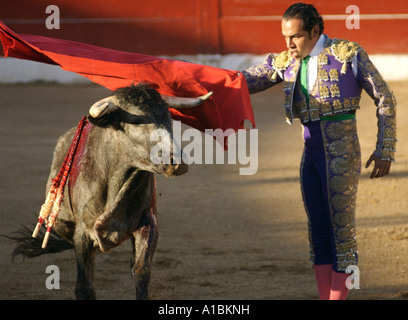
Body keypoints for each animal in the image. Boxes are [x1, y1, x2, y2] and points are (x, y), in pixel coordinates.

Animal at [9, 84, 212, 298]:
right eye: (137, 120)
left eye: (168, 117)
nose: (176, 162)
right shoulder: (82, 234)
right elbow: (84, 285)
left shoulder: (148, 225)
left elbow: (140, 272)